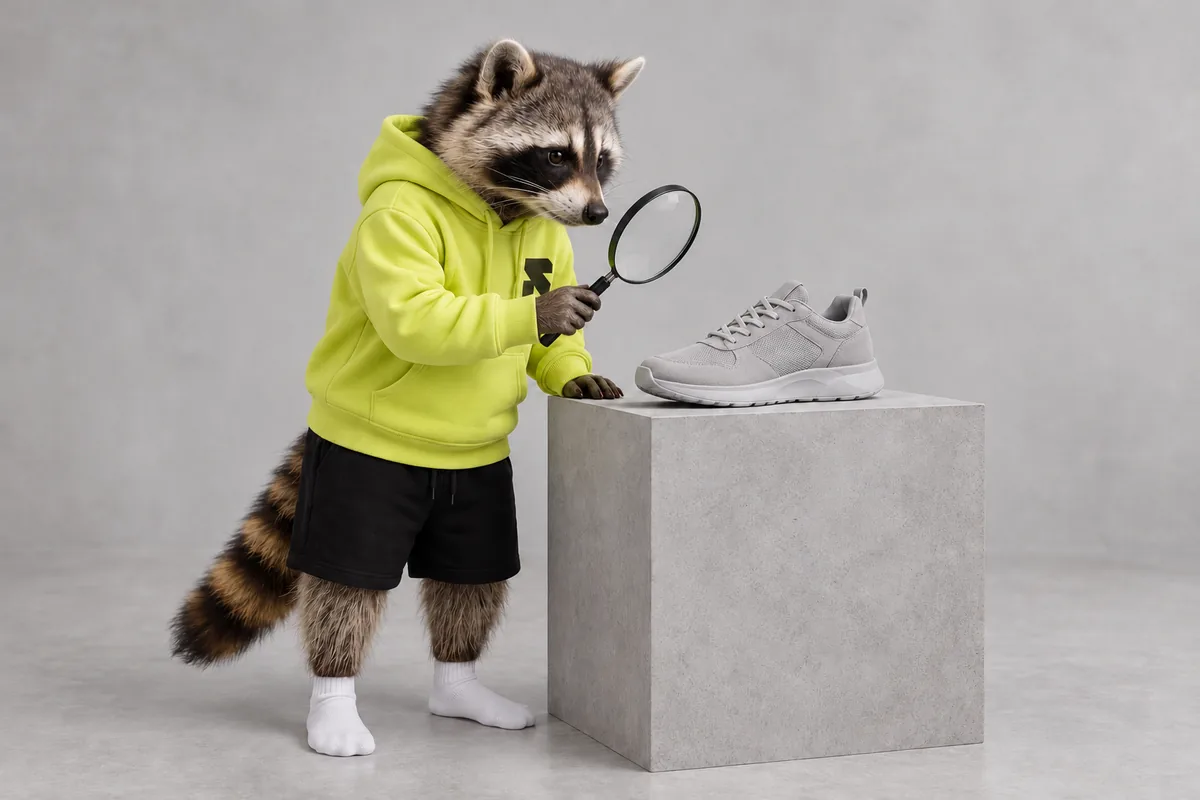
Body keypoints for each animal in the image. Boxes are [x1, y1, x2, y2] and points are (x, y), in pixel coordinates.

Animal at [170, 40, 644, 668]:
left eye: (602, 160)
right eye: (556, 155)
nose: (598, 214)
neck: (500, 208)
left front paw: (571, 368)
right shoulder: (395, 221)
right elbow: (416, 314)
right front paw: (540, 312)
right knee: (345, 584)